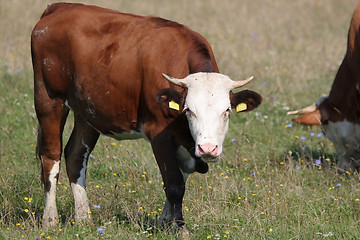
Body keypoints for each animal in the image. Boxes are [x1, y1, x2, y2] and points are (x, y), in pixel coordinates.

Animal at [31, 2, 262, 231]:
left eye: (227, 111)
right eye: (188, 110)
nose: (208, 149)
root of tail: (59, 8)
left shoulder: (186, 143)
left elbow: (181, 177)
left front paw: (165, 223)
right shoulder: (159, 133)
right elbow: (174, 184)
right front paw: (180, 228)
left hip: (87, 112)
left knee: (75, 156)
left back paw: (83, 219)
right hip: (49, 101)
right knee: (51, 158)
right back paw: (50, 220)